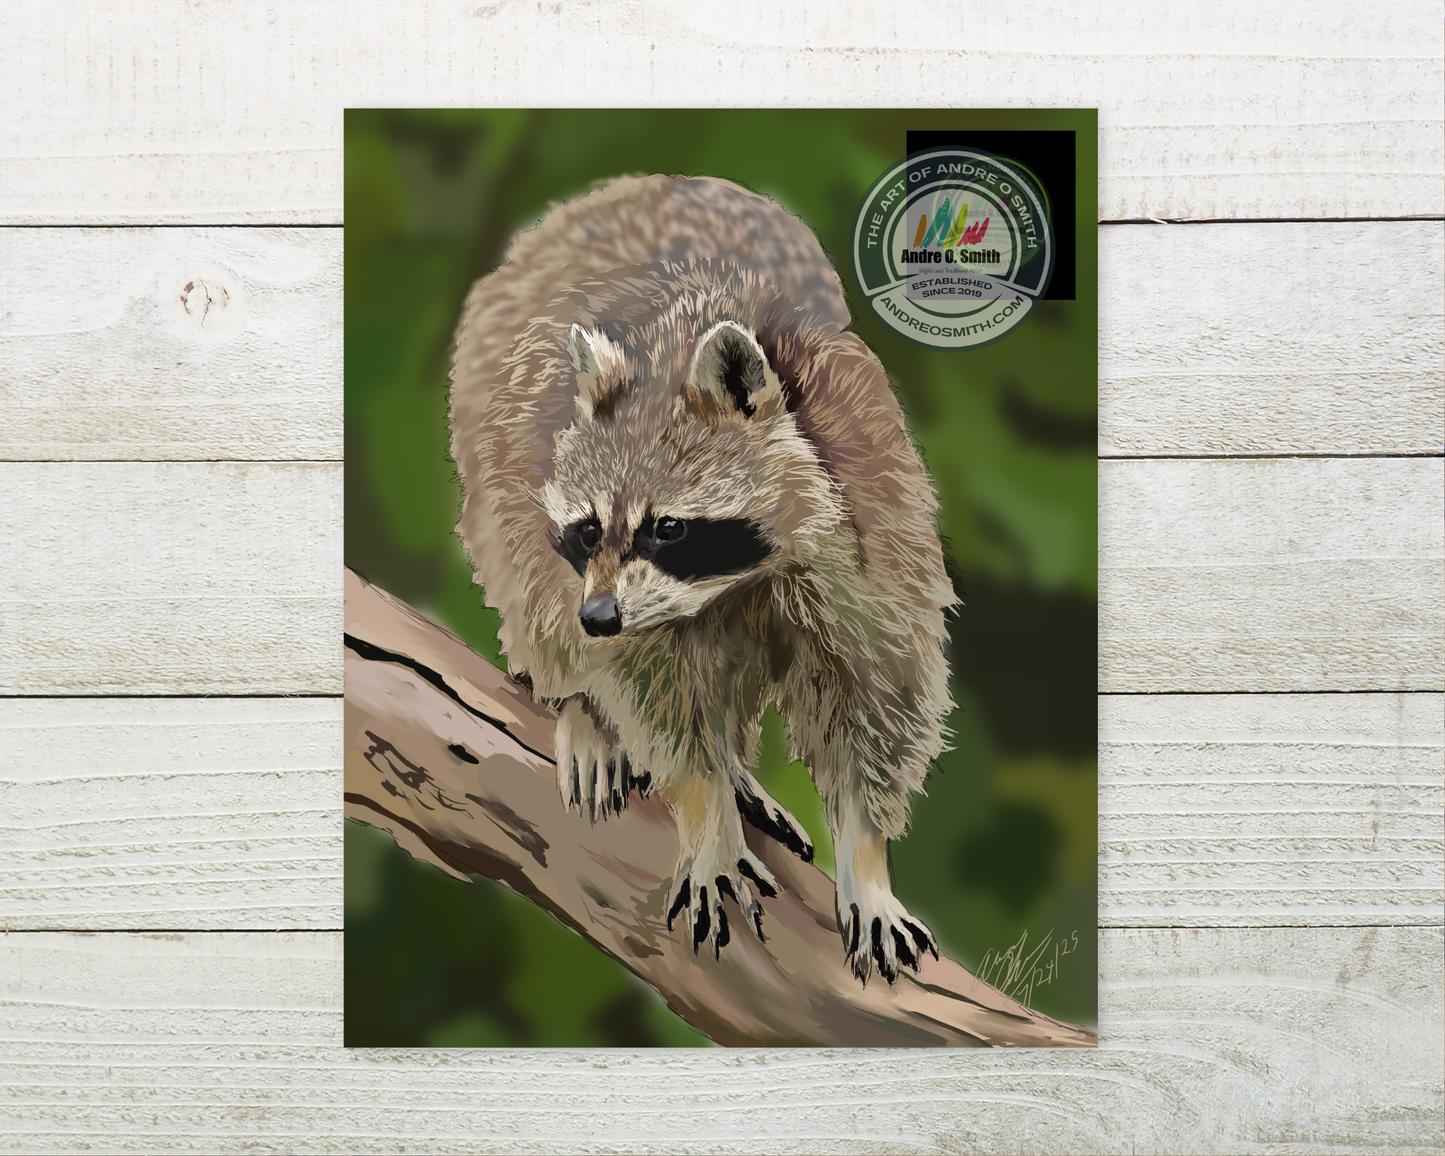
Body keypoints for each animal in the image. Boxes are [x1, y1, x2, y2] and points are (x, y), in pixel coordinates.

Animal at [450, 174, 957, 984]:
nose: (599, 616)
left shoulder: (876, 519)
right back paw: (585, 710)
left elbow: (879, 696)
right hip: (493, 446)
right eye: (589, 529)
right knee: (530, 590)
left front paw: (867, 856)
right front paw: (704, 809)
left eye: (667, 528)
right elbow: (652, 698)